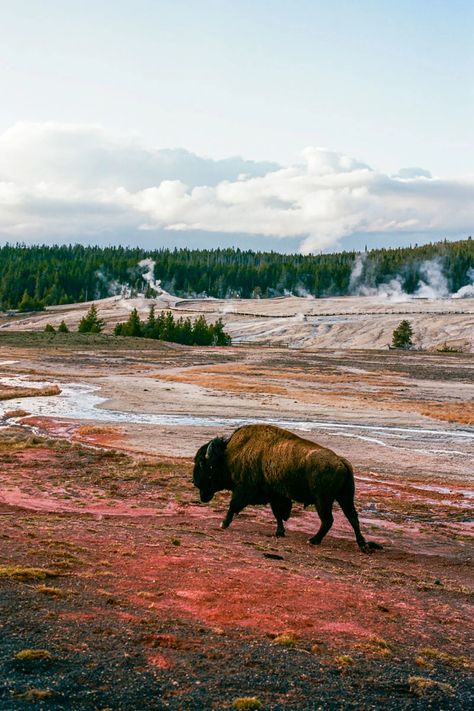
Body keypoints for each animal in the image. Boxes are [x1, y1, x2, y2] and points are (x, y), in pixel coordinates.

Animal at [193, 426, 382, 552]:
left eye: (203, 464)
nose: (194, 482)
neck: (229, 453)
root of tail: (341, 462)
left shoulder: (243, 490)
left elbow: (233, 506)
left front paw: (223, 523)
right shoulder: (276, 496)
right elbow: (278, 514)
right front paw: (280, 532)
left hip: (323, 500)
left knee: (328, 520)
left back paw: (313, 540)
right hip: (344, 497)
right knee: (353, 518)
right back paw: (363, 545)